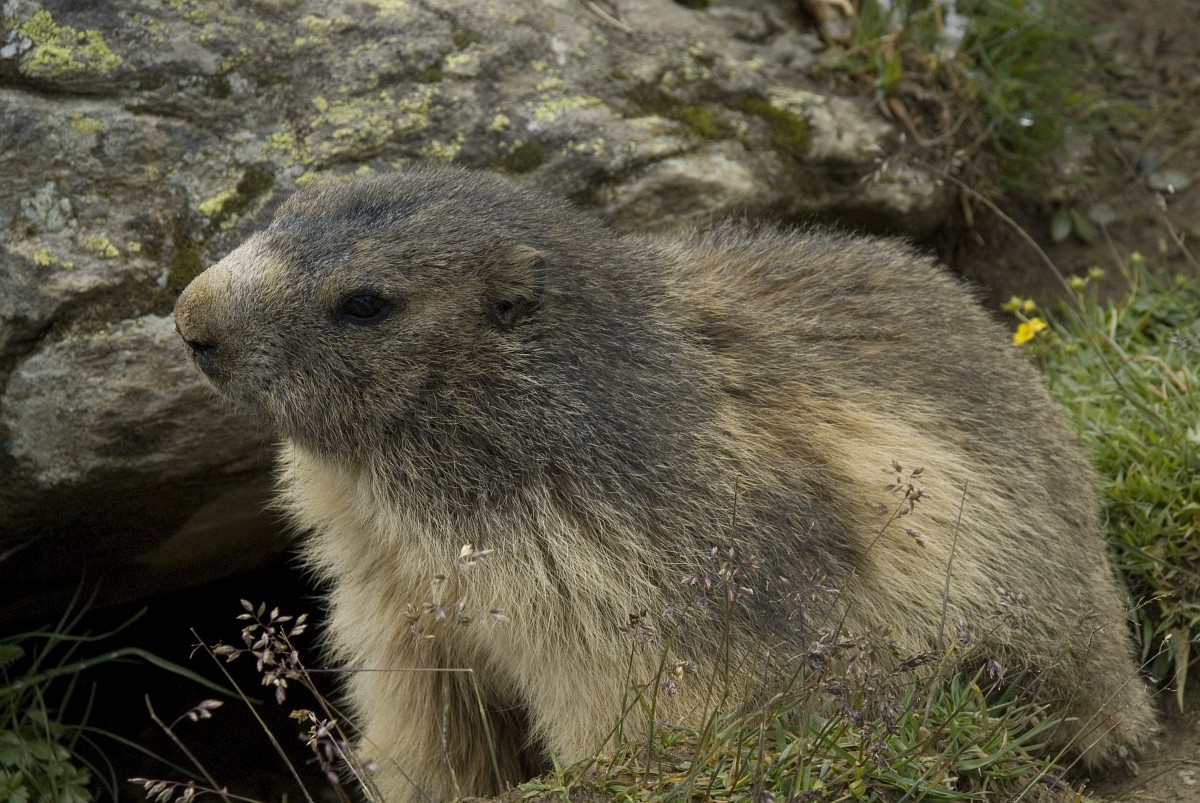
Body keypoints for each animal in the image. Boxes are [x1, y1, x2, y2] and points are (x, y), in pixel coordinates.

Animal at [174, 166, 1155, 801]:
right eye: (285, 208)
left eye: (367, 302)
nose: (189, 319)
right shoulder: (391, 594)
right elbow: (426, 710)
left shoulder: (617, 567)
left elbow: (648, 699)